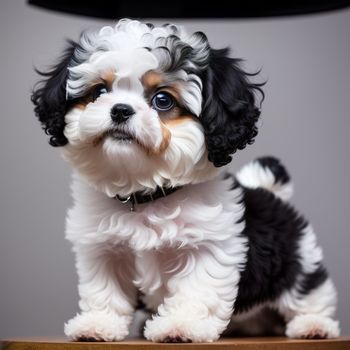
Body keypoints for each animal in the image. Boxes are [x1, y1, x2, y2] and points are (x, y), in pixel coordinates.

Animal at [30, 18, 340, 342]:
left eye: (162, 100)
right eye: (99, 92)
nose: (120, 110)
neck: (146, 194)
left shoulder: (207, 246)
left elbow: (196, 288)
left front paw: (181, 325)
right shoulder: (102, 250)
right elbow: (104, 289)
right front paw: (98, 324)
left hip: (297, 261)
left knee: (308, 292)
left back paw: (313, 325)